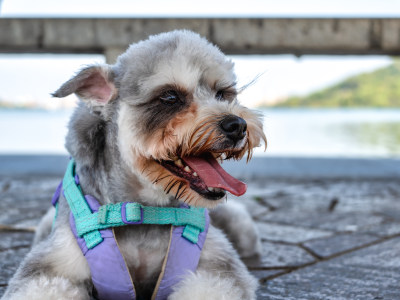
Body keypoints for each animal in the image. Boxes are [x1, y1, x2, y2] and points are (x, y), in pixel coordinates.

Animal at [3, 30, 268, 300]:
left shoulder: (217, 267)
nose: (237, 125)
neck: (144, 210)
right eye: (170, 97)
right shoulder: (52, 266)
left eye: (222, 93)